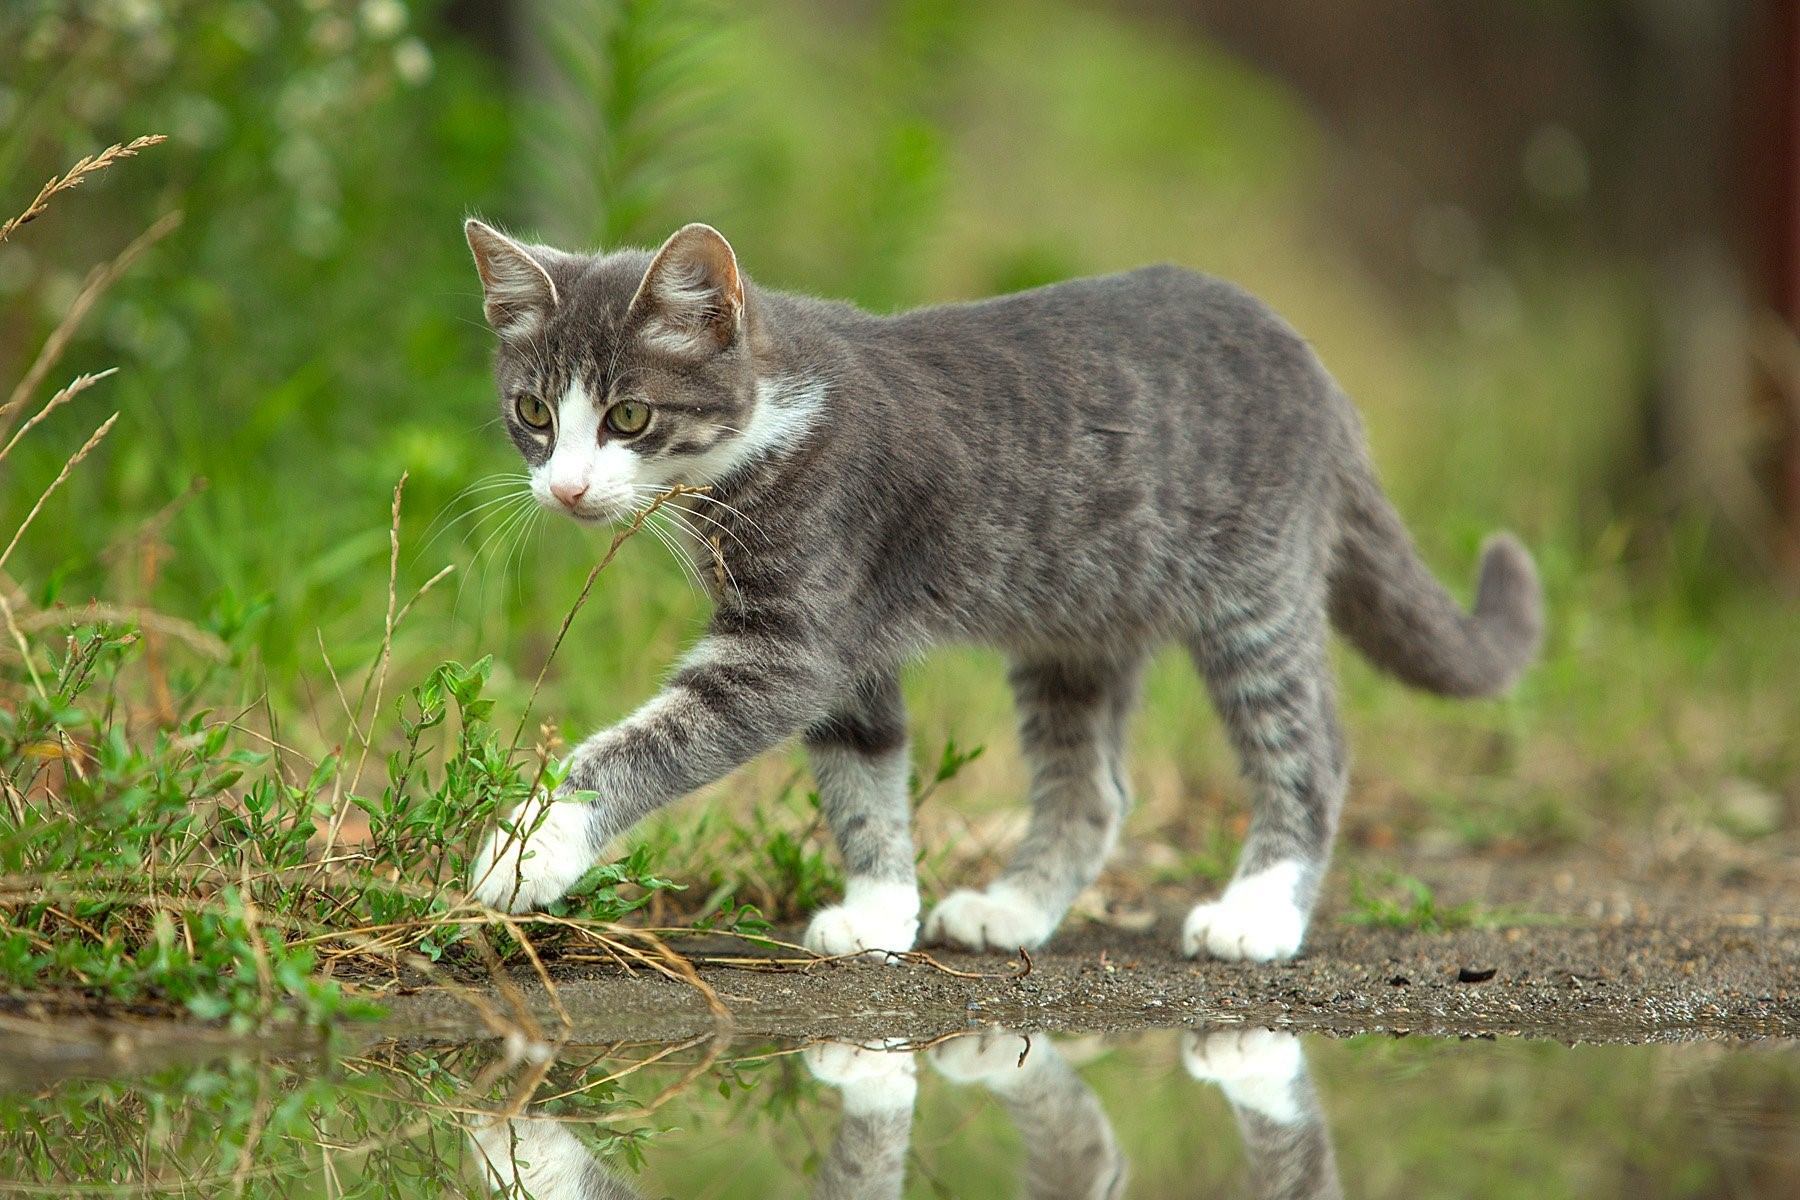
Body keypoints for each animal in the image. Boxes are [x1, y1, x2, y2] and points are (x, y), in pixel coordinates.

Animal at [457, 218, 1540, 964]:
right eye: (534, 413)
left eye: (630, 416)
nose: (565, 489)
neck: (775, 419)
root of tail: (1317, 370)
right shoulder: (851, 645)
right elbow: (863, 771)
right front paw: (881, 908)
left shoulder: (792, 639)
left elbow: (651, 740)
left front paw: (529, 848)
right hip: (1078, 622)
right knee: (1092, 787)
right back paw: (1014, 909)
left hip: (1255, 590)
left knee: (1309, 747)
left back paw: (1258, 913)